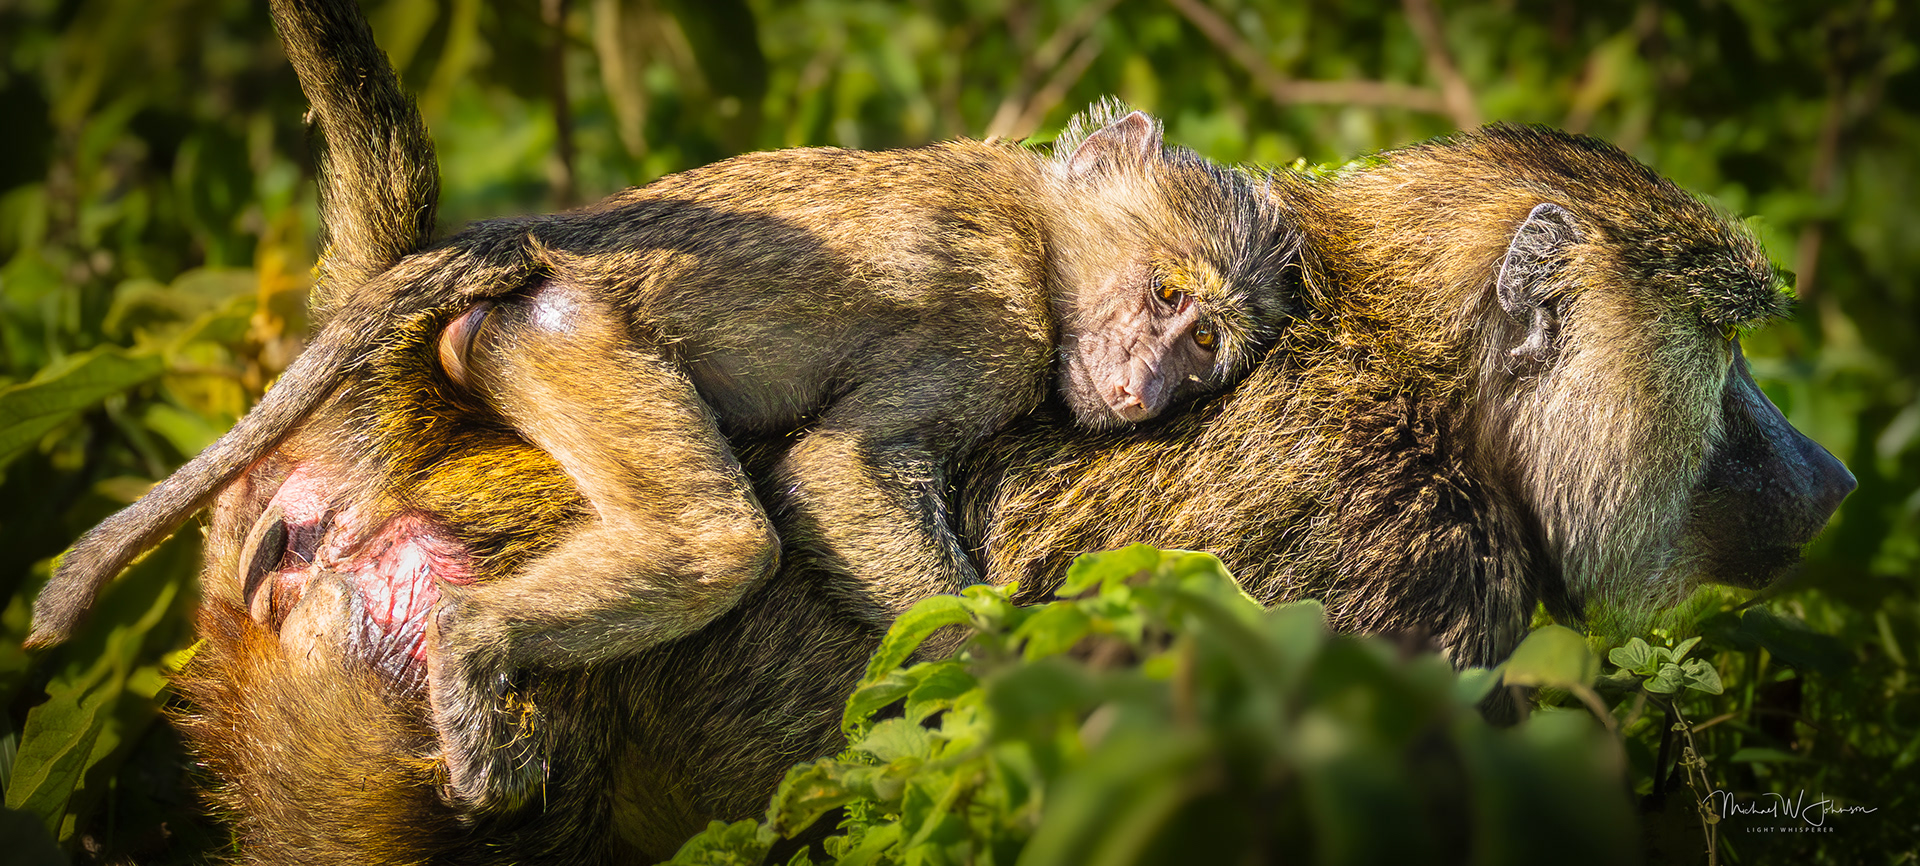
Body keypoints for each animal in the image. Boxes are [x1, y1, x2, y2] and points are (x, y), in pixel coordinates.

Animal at [28, 0, 1301, 818]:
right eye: (1173, 298)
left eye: (1207, 350)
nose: (1148, 386)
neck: (1033, 217)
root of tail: (528, 247)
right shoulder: (991, 321)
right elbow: (834, 475)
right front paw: (1023, 677)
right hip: (560, 341)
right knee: (716, 541)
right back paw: (472, 644)